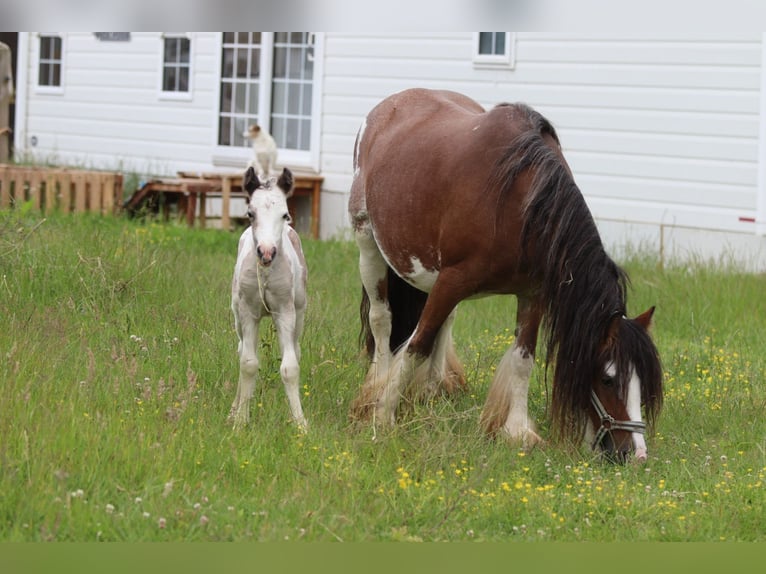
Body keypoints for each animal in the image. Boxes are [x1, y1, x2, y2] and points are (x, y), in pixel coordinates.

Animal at [230, 166, 308, 430]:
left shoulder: (285, 312)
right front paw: (240, 421)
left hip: (298, 315)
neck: (265, 272)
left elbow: (290, 366)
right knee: (242, 349)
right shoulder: (247, 312)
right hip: (238, 317)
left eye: (285, 215)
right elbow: (248, 364)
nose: (266, 252)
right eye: (250, 213)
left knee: (295, 349)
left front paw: (300, 424)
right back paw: (234, 408)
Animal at [348, 88, 663, 463]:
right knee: (383, 319)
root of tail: (389, 106)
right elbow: (417, 345)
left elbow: (523, 359)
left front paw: (517, 430)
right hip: (369, 245)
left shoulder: (531, 294)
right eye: (608, 379)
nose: (636, 454)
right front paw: (383, 415)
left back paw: (433, 388)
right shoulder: (453, 280)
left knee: (445, 323)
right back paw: (377, 379)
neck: (522, 203)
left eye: (643, 382)